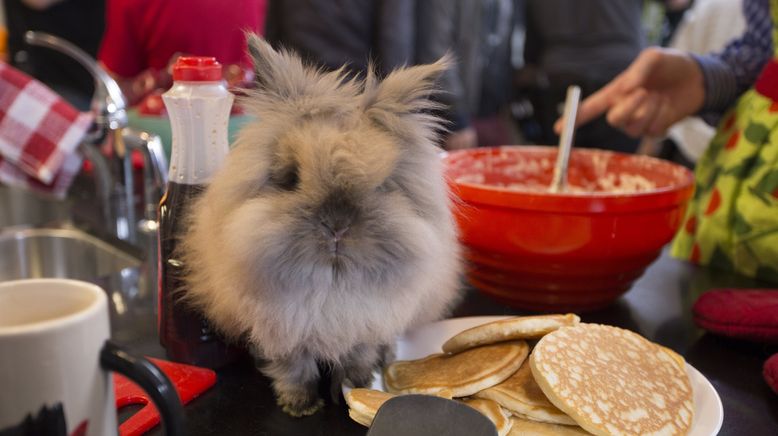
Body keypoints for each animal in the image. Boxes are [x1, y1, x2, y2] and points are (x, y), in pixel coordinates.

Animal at [182, 35, 460, 418]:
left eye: (381, 186)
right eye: (289, 178)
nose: (337, 228)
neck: (331, 283)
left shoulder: (366, 327)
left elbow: (359, 356)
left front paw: (359, 383)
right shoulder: (283, 334)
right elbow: (294, 369)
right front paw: (300, 406)